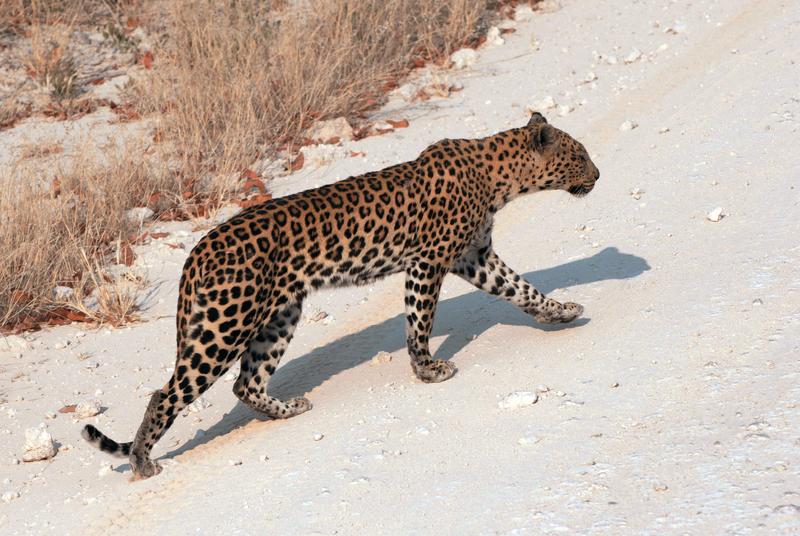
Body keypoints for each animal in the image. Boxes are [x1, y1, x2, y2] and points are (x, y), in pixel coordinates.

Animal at [83, 112, 600, 478]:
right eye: (580, 155)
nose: (598, 174)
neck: (497, 176)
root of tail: (195, 253)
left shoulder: (474, 257)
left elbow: (522, 289)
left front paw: (561, 311)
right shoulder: (428, 262)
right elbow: (420, 322)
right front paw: (427, 370)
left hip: (280, 315)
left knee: (246, 383)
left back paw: (288, 409)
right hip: (224, 325)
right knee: (166, 393)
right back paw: (143, 463)